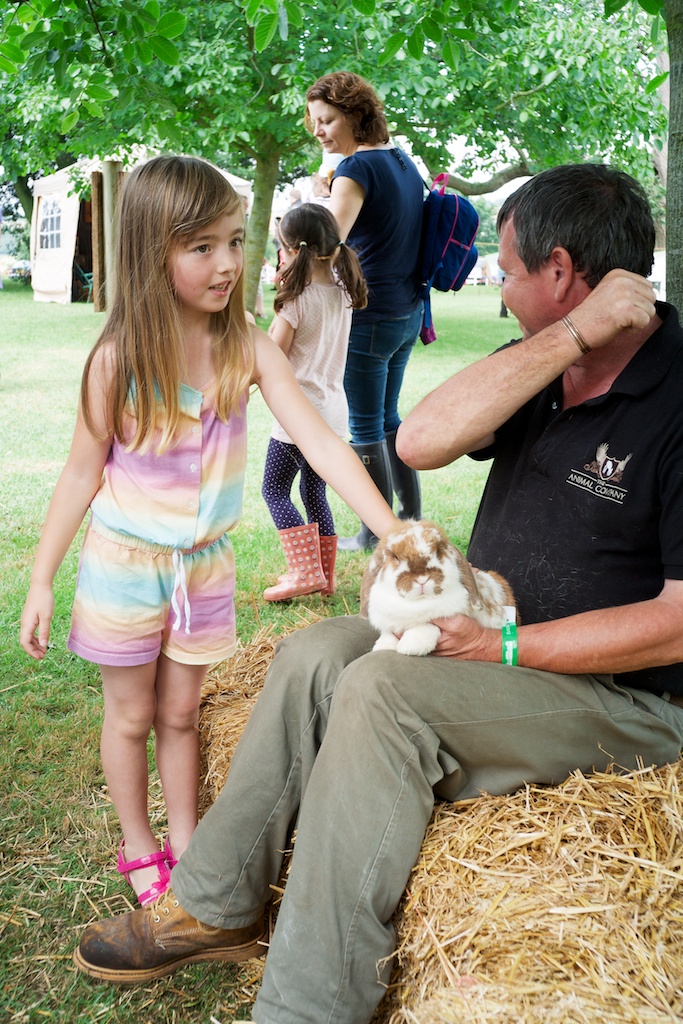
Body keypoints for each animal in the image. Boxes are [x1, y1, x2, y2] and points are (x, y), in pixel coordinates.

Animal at [360, 520, 516, 655]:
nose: (422, 579)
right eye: (395, 557)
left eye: (438, 551)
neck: (418, 602)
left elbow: (427, 625)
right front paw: (383, 646)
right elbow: (388, 632)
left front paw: (410, 646)